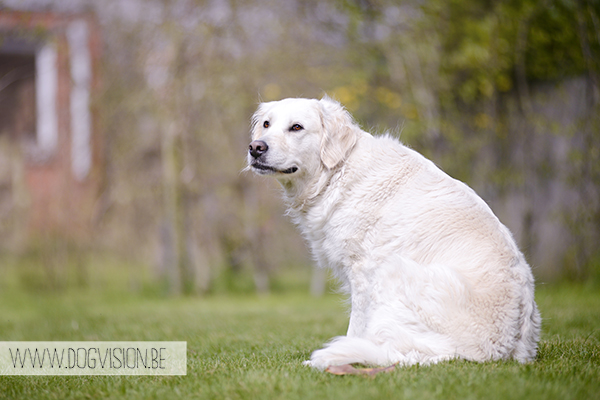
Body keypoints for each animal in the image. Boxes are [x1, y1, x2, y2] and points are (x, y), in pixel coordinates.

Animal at [246, 95, 540, 370]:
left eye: (296, 127)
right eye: (266, 124)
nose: (255, 148)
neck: (337, 172)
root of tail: (494, 351)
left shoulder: (363, 273)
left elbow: (357, 327)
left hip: (393, 271)